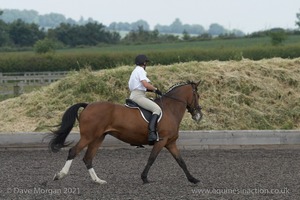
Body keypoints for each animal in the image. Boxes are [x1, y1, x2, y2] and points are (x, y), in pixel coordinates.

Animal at [49, 80, 203, 184]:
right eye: (197, 95)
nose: (198, 115)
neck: (170, 109)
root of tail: (87, 106)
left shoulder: (170, 143)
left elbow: (181, 161)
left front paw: (193, 179)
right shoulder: (162, 141)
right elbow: (151, 158)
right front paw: (144, 178)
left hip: (98, 138)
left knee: (88, 158)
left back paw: (98, 181)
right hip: (88, 137)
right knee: (73, 152)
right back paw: (60, 175)